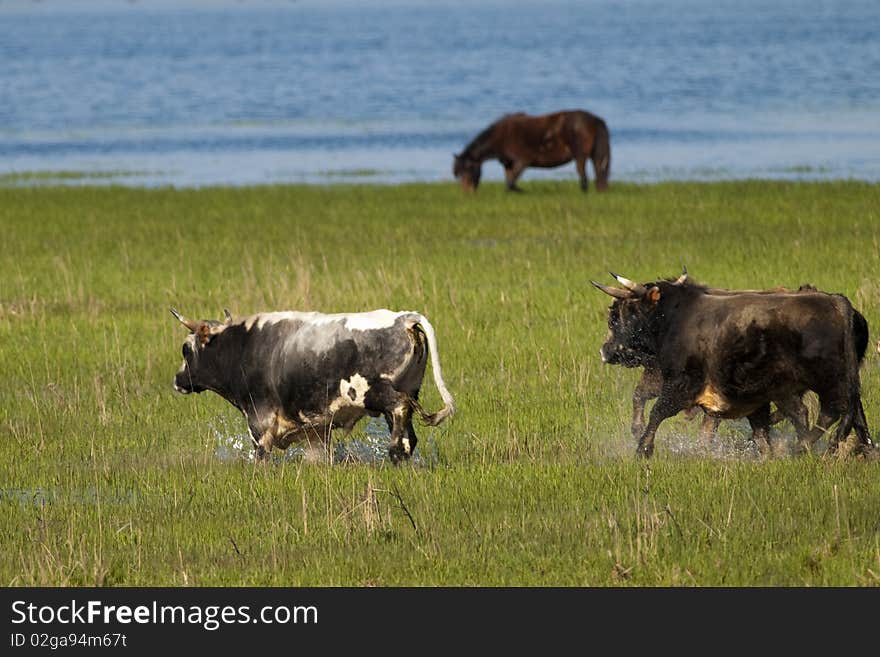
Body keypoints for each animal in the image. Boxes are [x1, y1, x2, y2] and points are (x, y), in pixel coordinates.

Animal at [170, 308, 454, 462]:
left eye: (185, 348)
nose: (177, 380)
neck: (242, 347)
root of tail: (403, 318)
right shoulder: (316, 430)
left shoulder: (259, 419)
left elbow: (261, 454)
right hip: (408, 390)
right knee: (409, 432)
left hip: (374, 393)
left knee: (399, 409)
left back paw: (393, 451)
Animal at [454, 110, 612, 191]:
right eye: (458, 173)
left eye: (468, 170)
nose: (467, 193)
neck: (501, 137)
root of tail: (595, 120)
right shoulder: (508, 164)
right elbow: (509, 183)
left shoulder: (521, 162)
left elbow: (511, 184)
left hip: (580, 155)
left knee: (583, 173)